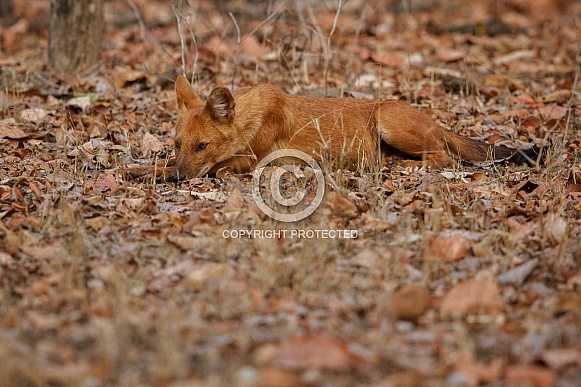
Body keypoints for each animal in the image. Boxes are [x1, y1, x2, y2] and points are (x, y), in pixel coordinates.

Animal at [171, 76, 540, 181]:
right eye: (177, 144)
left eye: (203, 145)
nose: (178, 179)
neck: (253, 115)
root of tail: (437, 122)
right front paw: (157, 172)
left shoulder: (252, 159)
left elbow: (217, 168)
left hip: (388, 118)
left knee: (444, 158)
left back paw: (399, 164)